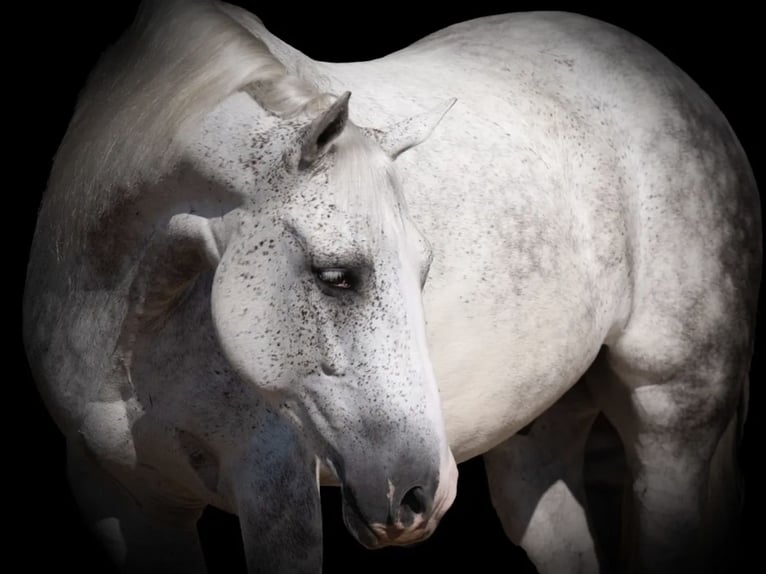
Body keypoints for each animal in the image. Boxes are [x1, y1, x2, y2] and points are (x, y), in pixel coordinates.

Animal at [24, 1, 760, 574]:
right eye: (335, 276)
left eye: (424, 269)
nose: (418, 493)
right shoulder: (124, 502)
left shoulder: (277, 495)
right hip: (535, 443)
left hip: (672, 418)